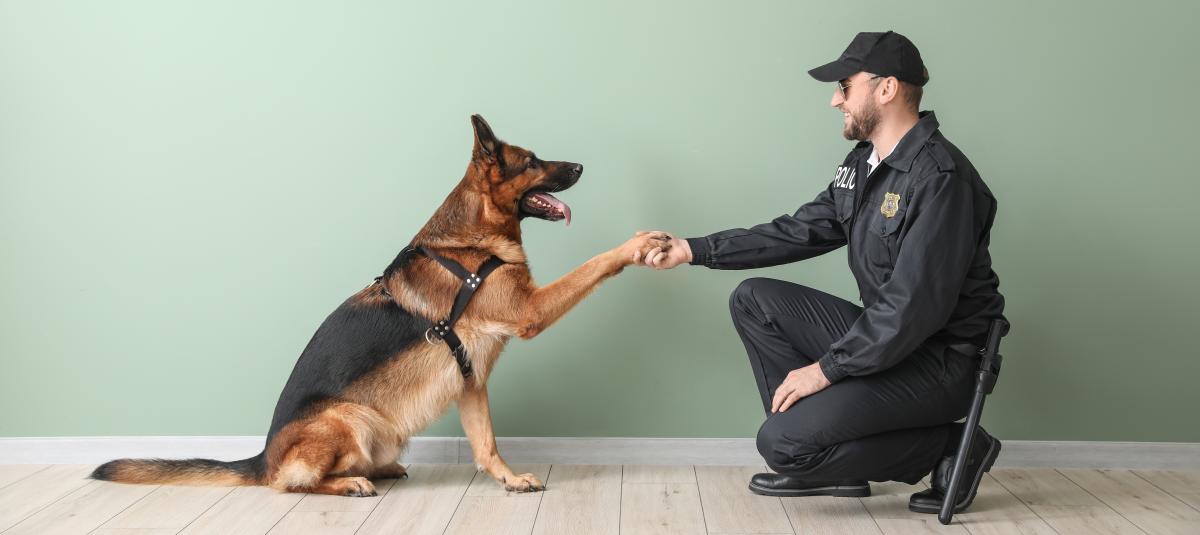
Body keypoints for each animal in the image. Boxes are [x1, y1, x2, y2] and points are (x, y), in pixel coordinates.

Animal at [91, 115, 676, 494]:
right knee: (290, 483)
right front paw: (637, 245)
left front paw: (507, 480)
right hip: (351, 418)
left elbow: (486, 444)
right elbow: (594, 265)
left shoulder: (471, 381)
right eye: (532, 162)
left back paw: (378, 470)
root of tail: (260, 457)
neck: (471, 238)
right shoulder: (531, 310)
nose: (578, 166)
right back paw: (349, 482)